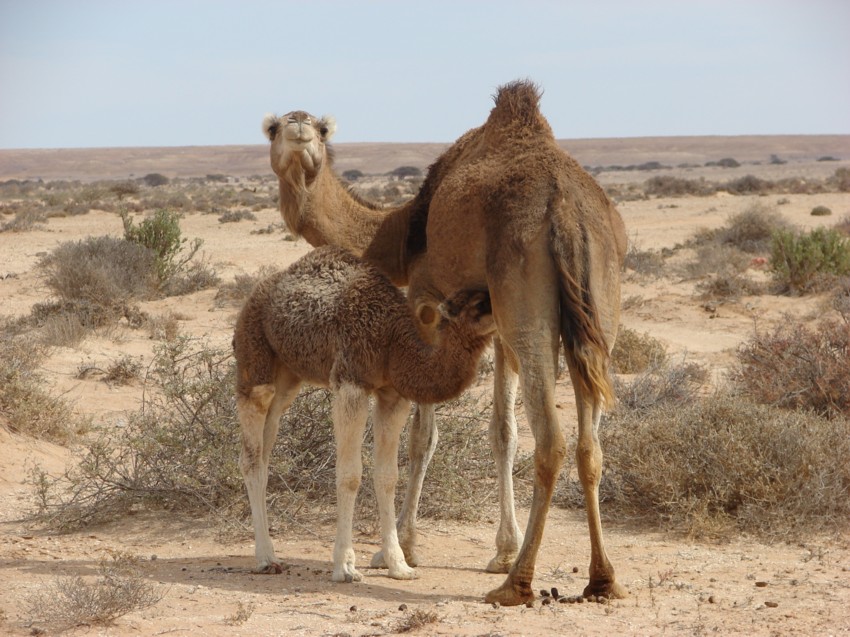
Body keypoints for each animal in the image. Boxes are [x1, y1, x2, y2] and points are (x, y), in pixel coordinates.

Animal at [235, 245, 494, 580]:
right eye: (479, 304)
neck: (394, 342)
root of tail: (256, 292)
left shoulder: (393, 395)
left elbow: (387, 476)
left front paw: (399, 565)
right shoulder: (351, 382)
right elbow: (350, 474)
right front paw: (345, 566)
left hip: (288, 376)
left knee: (267, 446)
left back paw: (272, 555)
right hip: (253, 357)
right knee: (252, 454)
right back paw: (266, 558)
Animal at [262, 80, 628, 608]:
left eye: (322, 129)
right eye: (273, 128)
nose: (297, 127)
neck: (400, 233)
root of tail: (566, 211)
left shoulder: (426, 298)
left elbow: (422, 437)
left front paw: (400, 547)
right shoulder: (495, 328)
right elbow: (501, 433)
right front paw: (501, 547)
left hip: (528, 301)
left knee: (552, 441)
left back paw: (515, 584)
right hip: (599, 310)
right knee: (590, 445)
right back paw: (601, 580)